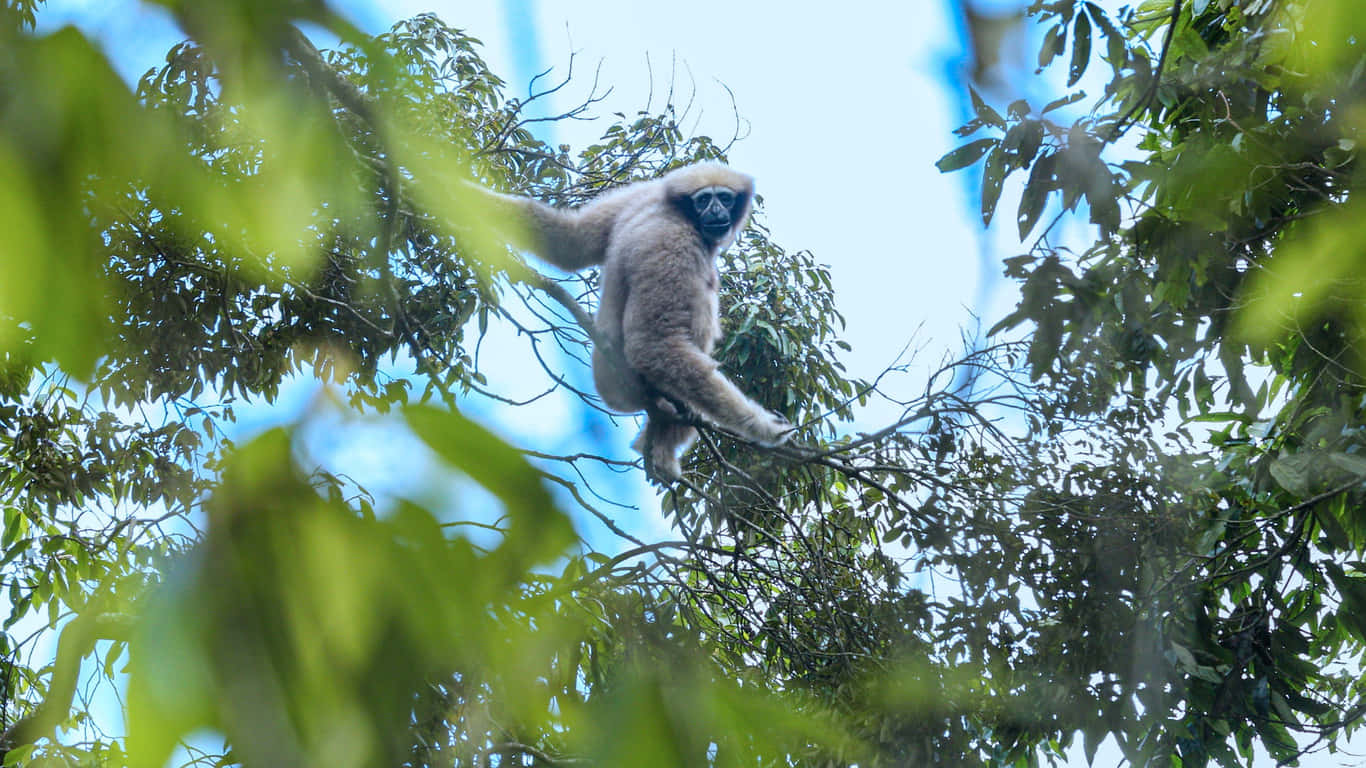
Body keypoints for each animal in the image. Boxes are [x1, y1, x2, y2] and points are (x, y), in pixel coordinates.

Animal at [471, 163, 792, 481]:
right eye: (703, 200)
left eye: (724, 198)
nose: (715, 211)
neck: (676, 210)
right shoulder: (673, 242)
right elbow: (652, 344)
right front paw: (764, 427)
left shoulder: (639, 194)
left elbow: (570, 243)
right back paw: (661, 446)